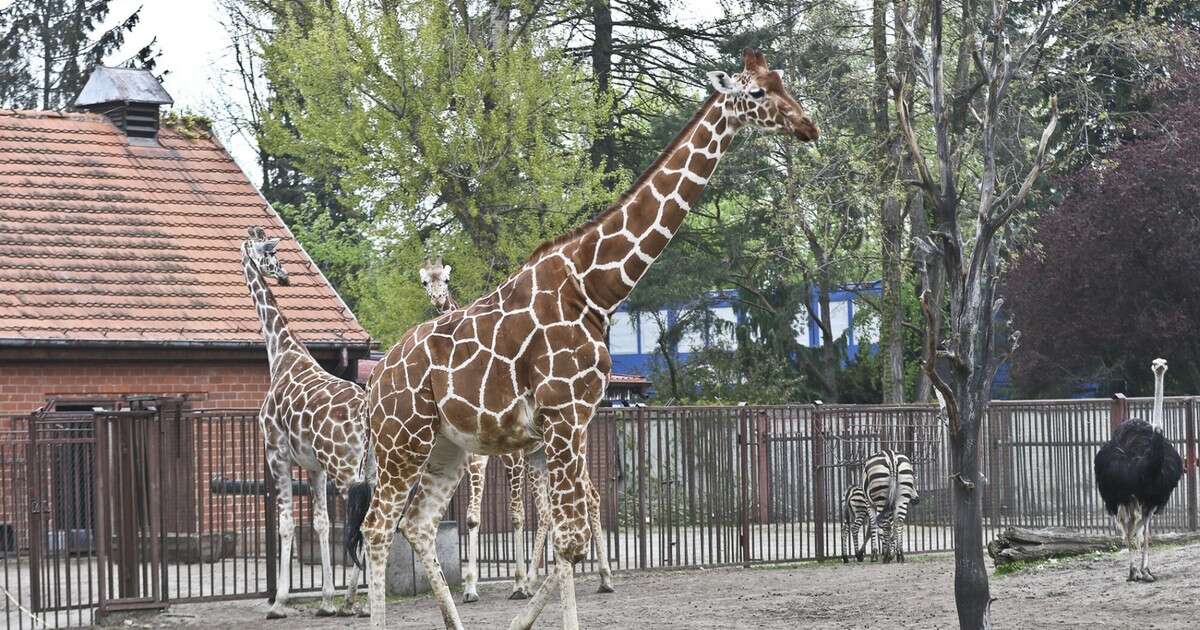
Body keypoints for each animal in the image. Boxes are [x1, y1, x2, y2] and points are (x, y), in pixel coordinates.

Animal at [242, 226, 369, 619]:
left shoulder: (276, 453)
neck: (281, 353)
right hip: (370, 468)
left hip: (346, 469)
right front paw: (326, 599)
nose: (285, 276)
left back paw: (359, 602)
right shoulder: (315, 467)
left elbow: (285, 525)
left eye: (272, 252)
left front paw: (279, 602)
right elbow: (322, 524)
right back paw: (351, 601)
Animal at [417, 258, 614, 602]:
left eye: (446, 280)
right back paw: (538, 579)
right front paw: (471, 587)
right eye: (426, 282)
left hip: (571, 447)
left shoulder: (512, 457)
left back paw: (603, 577)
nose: (439, 300)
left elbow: (516, 514)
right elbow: (472, 517)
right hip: (540, 458)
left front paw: (516, 583)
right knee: (548, 512)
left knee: (590, 496)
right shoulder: (476, 456)